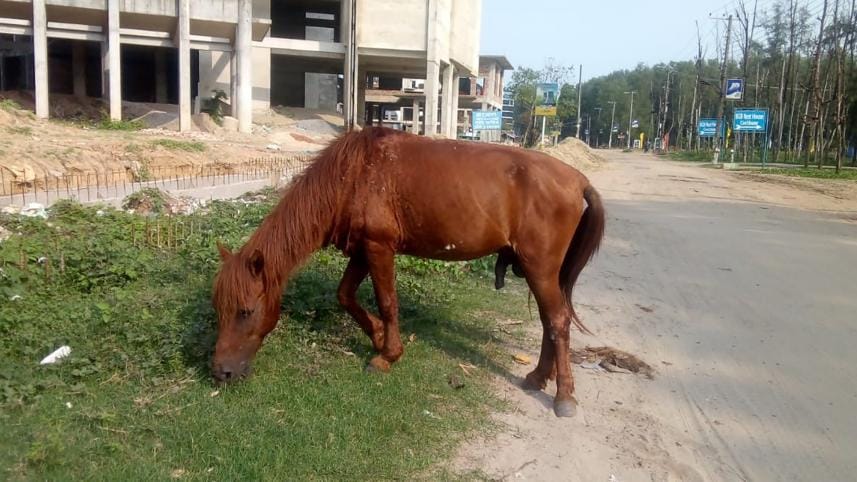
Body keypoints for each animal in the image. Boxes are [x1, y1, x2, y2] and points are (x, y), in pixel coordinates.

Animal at [211, 126, 605, 417]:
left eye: (245, 311)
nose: (221, 372)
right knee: (550, 321)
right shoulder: (363, 250)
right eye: (220, 310)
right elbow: (345, 295)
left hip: (540, 268)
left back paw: (563, 396)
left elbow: (387, 302)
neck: (353, 175)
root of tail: (577, 179)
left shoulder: (379, 248)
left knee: (558, 321)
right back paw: (538, 377)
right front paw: (377, 337)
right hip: (541, 271)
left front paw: (387, 355)